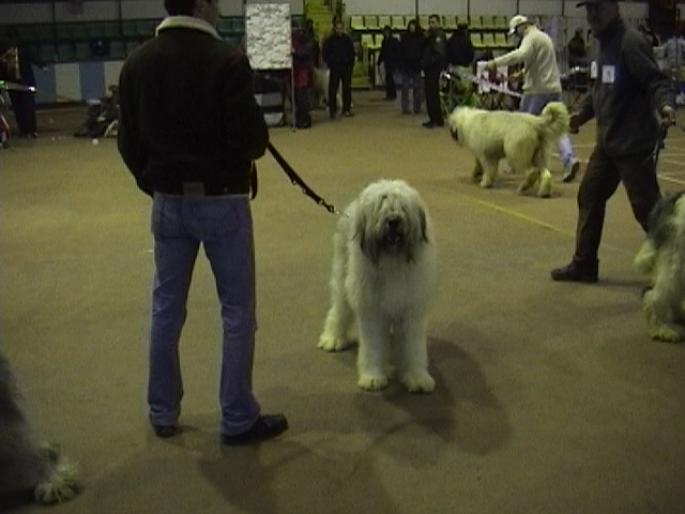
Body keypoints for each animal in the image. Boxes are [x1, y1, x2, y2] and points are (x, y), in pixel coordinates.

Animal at [318, 178, 436, 390]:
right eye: (382, 202)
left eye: (403, 206)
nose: (393, 221)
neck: (392, 260)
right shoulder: (372, 310)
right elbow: (373, 346)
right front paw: (373, 376)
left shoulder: (411, 310)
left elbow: (413, 347)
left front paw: (417, 377)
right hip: (343, 279)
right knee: (339, 310)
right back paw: (333, 338)